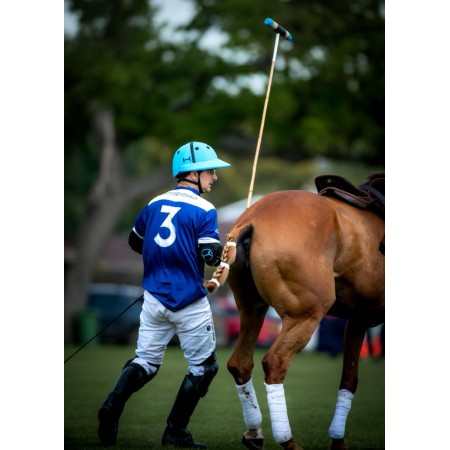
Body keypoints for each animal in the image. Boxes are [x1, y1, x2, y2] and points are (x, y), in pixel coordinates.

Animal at [204, 175, 384, 450]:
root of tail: (251, 219)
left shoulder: (359, 317)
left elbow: (349, 377)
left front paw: (338, 441)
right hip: (305, 314)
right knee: (275, 362)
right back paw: (287, 440)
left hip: (251, 308)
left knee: (240, 363)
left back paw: (254, 433)